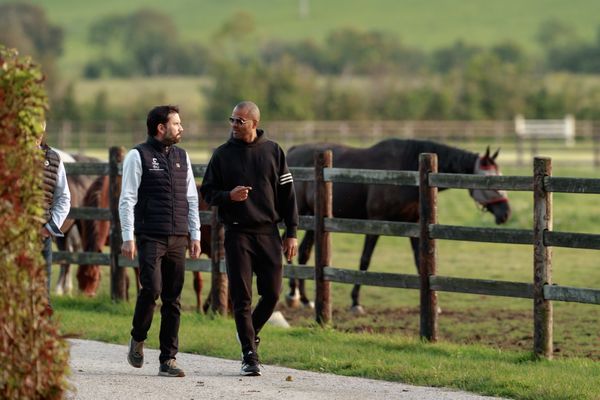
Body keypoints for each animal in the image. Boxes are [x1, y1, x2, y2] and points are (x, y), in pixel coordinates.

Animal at [286, 139, 510, 314]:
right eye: (489, 180)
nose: (506, 213)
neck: (407, 171)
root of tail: (292, 151)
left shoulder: (414, 225)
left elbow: (420, 262)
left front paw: (433, 305)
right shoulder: (376, 222)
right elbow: (364, 261)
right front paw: (355, 302)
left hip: (313, 219)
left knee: (304, 252)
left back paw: (303, 298)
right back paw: (293, 295)